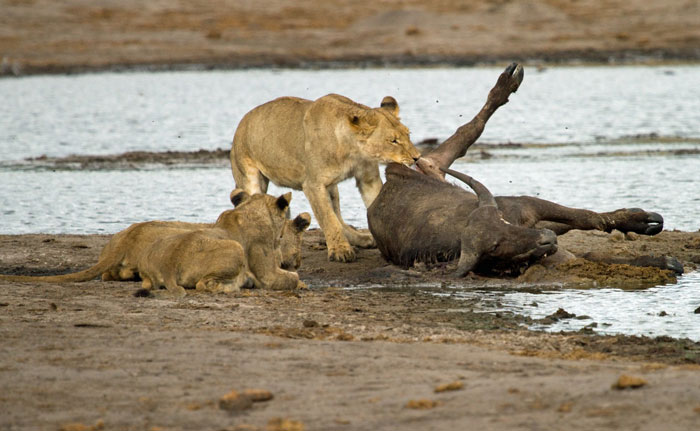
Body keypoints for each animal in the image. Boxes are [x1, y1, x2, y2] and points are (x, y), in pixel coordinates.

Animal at [231, 93, 421, 262]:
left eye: (408, 134)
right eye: (393, 141)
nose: (417, 157)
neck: (352, 150)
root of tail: (242, 122)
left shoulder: (368, 178)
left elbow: (375, 203)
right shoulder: (313, 184)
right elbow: (328, 219)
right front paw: (340, 251)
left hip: (332, 188)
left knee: (339, 215)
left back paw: (362, 239)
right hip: (249, 177)